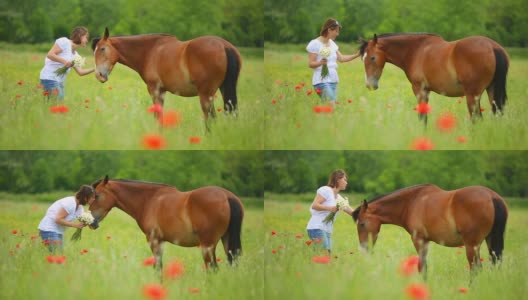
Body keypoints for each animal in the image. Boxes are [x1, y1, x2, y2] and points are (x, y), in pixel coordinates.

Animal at [89, 175, 244, 270]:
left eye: (97, 195)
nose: (92, 222)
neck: (149, 200)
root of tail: (226, 196)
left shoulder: (154, 240)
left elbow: (158, 267)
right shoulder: (161, 241)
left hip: (207, 245)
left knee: (212, 269)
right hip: (226, 241)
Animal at [91, 28, 241, 130]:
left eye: (102, 49)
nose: (99, 75)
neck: (150, 51)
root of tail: (224, 46)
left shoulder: (155, 90)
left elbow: (158, 116)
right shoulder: (162, 91)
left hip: (206, 94)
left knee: (210, 118)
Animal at [352, 183, 510, 278]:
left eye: (362, 224)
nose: (364, 249)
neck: (411, 202)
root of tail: (492, 196)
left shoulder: (419, 240)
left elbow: (422, 267)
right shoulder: (426, 241)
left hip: (472, 245)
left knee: (476, 268)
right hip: (490, 241)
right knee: (495, 263)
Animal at [356, 34, 510, 123]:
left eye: (372, 57)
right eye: (363, 58)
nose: (370, 85)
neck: (415, 50)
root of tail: (492, 46)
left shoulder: (420, 89)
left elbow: (422, 117)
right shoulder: (427, 90)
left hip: (473, 95)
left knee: (477, 119)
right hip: (491, 91)